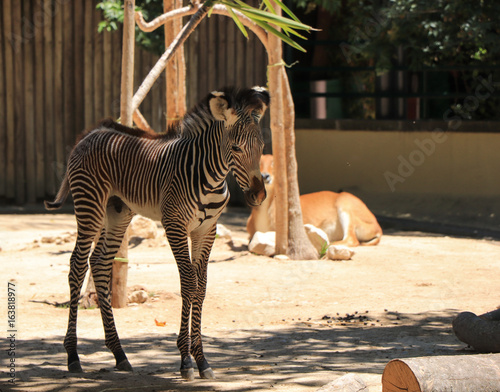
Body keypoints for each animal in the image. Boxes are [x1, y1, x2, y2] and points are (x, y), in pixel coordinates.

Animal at [45, 86, 270, 380]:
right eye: (235, 148)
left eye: (262, 147)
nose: (258, 195)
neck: (210, 177)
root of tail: (91, 133)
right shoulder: (174, 224)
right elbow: (189, 284)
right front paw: (185, 360)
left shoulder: (206, 230)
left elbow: (201, 287)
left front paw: (202, 360)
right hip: (89, 206)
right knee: (77, 266)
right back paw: (73, 356)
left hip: (117, 212)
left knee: (100, 263)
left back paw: (119, 354)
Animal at [247, 155, 382, 247]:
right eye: (258, 162)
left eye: (274, 162)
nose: (265, 176)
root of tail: (378, 227)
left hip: (345, 206)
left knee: (352, 239)